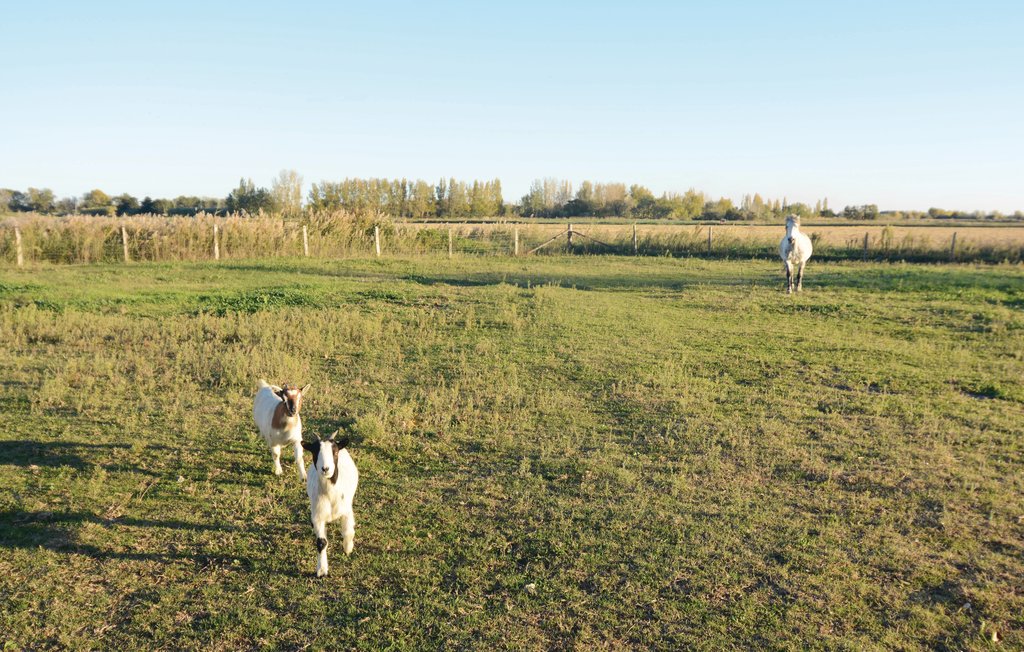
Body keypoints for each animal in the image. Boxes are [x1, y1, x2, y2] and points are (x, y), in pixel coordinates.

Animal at [303, 431, 360, 573]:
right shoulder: (318, 516)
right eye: (315, 452)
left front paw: (348, 548)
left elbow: (348, 532)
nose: (325, 469)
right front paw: (322, 570)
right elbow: (321, 542)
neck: (330, 495)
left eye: (335, 452)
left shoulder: (346, 511)